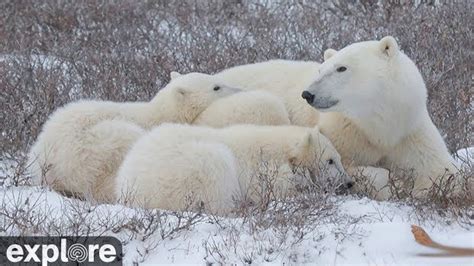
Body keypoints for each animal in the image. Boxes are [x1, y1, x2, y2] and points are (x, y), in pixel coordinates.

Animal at [300, 35, 460, 197]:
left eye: (341, 68)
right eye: (320, 70)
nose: (308, 94)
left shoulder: (410, 132)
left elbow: (440, 170)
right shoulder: (343, 134)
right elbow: (345, 166)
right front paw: (398, 185)